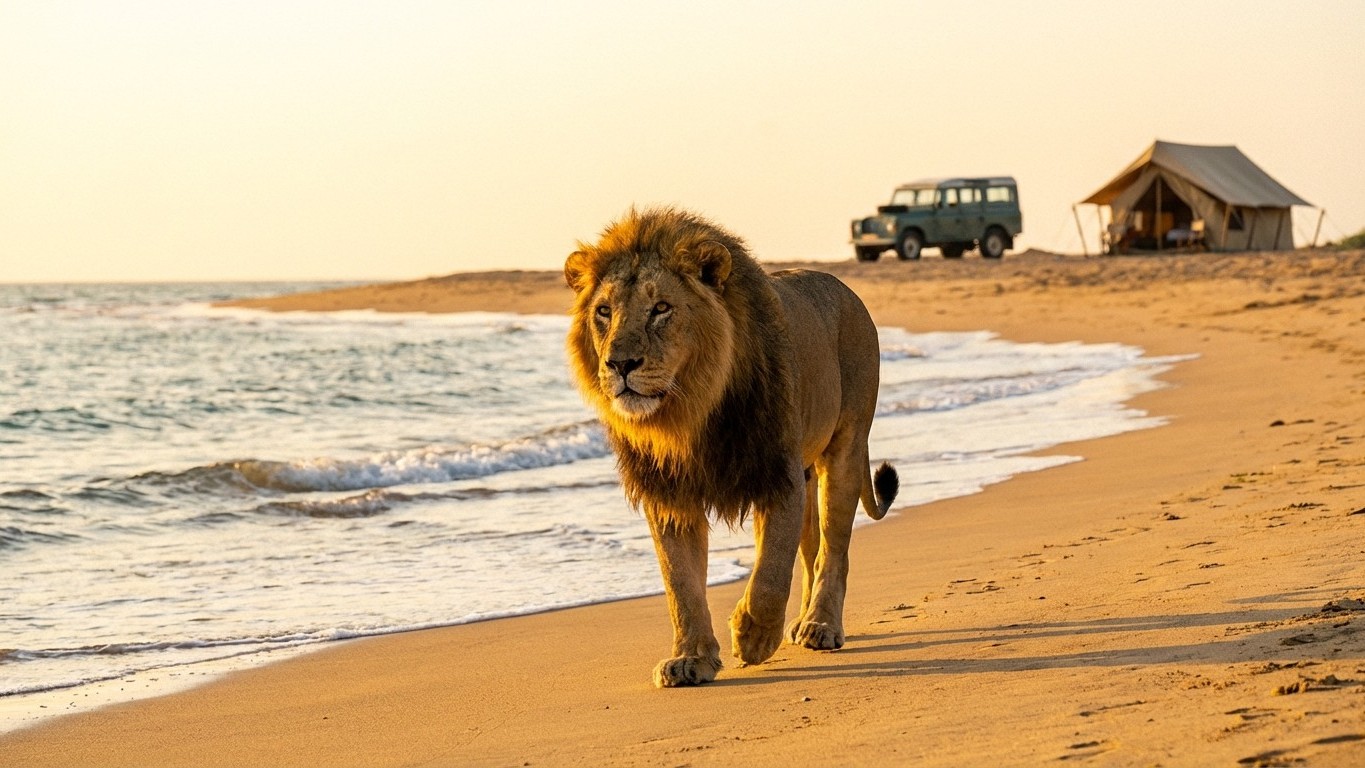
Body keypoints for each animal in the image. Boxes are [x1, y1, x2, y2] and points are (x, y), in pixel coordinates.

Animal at [564, 206, 898, 687]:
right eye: (604, 312)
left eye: (661, 309)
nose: (620, 364)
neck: (688, 413)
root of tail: (844, 288)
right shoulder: (670, 493)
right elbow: (681, 583)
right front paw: (690, 659)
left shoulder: (777, 474)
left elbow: (770, 570)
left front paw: (753, 637)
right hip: (808, 470)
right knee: (811, 550)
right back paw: (800, 622)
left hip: (846, 449)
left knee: (834, 550)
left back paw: (820, 626)